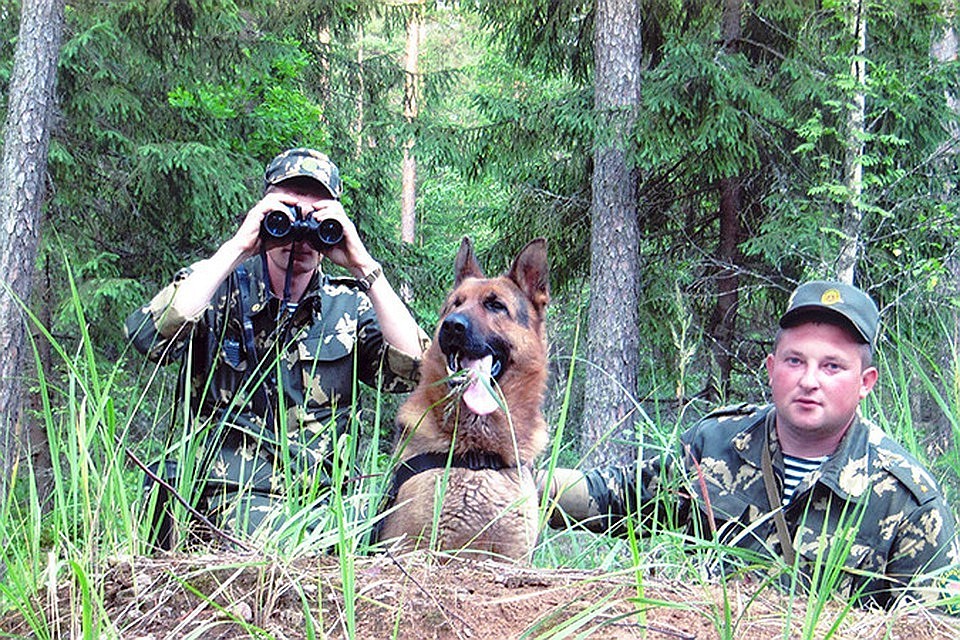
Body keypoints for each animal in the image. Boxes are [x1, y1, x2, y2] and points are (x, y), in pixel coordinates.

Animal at [380, 236, 552, 560]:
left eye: (496, 305)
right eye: (455, 304)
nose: (452, 325)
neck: (479, 454)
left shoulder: (513, 557)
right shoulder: (413, 546)